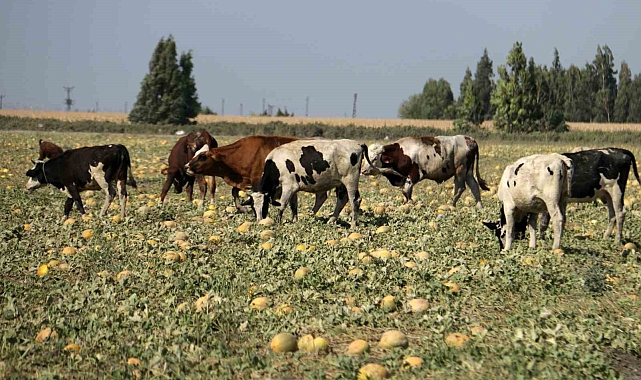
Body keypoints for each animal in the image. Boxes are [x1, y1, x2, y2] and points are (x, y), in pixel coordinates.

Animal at [184, 136, 324, 214]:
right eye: (196, 153)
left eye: (202, 156)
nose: (186, 166)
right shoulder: (244, 179)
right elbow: (234, 192)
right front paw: (241, 208)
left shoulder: (258, 180)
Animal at [246, 140, 376, 229]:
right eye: (252, 207)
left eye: (264, 205)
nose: (259, 221)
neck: (276, 164)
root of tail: (358, 144)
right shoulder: (294, 188)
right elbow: (293, 205)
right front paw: (294, 220)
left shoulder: (288, 186)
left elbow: (282, 205)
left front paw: (278, 221)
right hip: (341, 183)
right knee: (342, 200)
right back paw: (331, 220)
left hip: (351, 181)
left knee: (355, 200)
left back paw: (353, 225)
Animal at [360, 135, 490, 208]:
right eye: (366, 157)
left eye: (374, 158)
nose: (363, 170)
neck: (401, 153)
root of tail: (470, 139)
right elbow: (406, 192)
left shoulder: (413, 176)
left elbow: (406, 191)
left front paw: (411, 204)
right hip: (468, 171)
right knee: (474, 186)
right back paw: (479, 207)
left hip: (461, 169)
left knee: (460, 187)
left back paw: (451, 206)